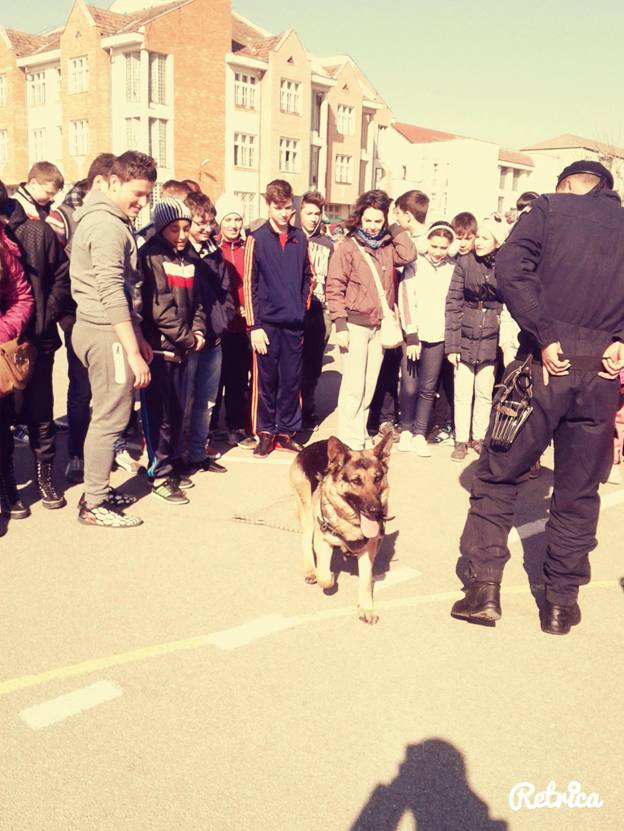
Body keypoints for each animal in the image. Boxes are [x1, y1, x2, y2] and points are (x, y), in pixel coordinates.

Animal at [289, 430, 393, 624]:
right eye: (356, 481)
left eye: (377, 479)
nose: (376, 511)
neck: (351, 522)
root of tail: (313, 445)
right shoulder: (324, 540)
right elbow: (324, 577)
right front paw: (329, 576)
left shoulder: (369, 548)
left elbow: (366, 580)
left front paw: (366, 608)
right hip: (307, 512)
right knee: (306, 541)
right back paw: (311, 570)